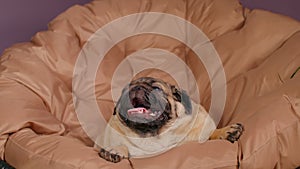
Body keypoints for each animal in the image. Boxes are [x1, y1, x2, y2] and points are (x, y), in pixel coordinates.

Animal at [96, 76, 244, 162]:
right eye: (124, 91)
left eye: (157, 89)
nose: (135, 88)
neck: (155, 134)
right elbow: (123, 146)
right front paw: (116, 150)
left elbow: (209, 134)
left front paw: (225, 131)